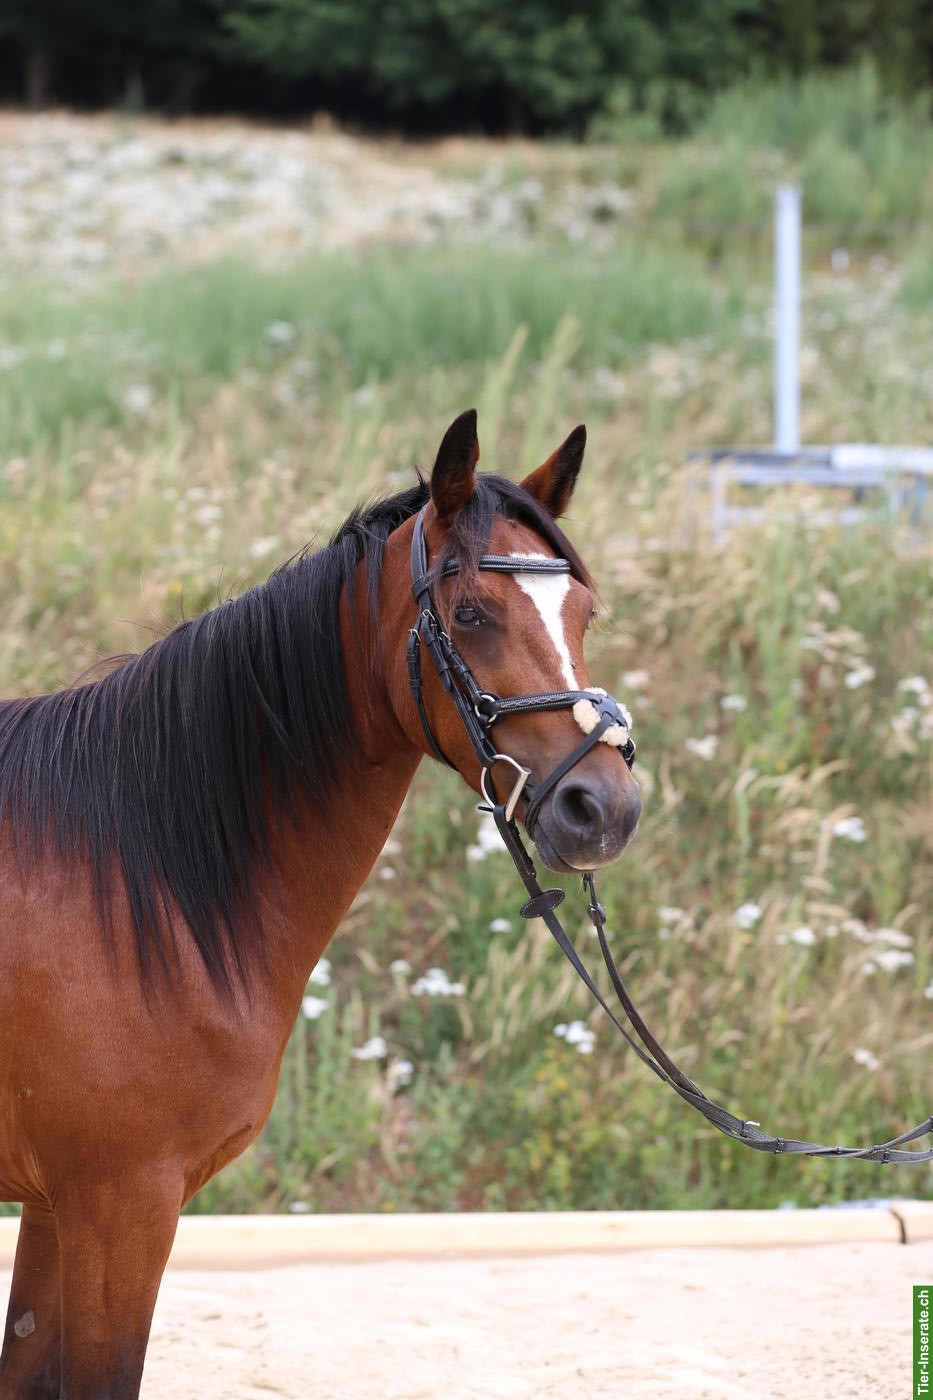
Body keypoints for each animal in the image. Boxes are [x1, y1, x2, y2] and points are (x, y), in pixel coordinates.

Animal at [0, 409, 641, 1399]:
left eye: (583, 614)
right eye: (469, 613)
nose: (601, 810)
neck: (137, 882)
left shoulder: (53, 1209)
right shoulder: (117, 1205)